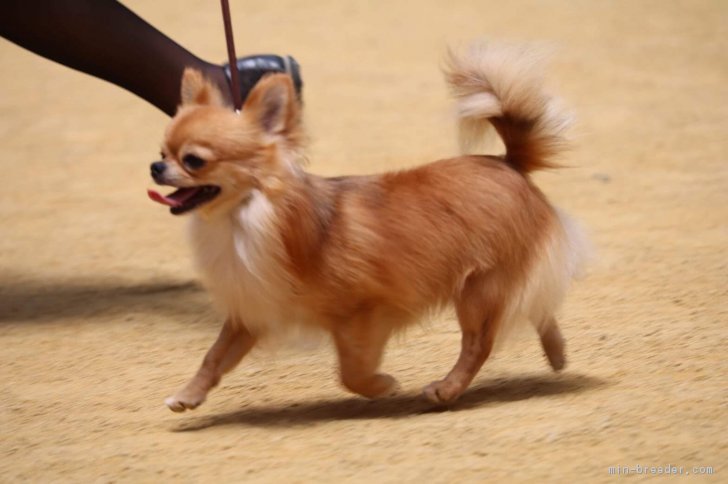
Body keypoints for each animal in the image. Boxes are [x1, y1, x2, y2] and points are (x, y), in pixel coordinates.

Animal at [151, 42, 588, 412]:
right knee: (539, 305)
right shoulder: (251, 312)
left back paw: (446, 388)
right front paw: (188, 395)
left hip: (478, 289)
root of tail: (508, 162)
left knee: (479, 342)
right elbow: (214, 356)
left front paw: (383, 385)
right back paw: (557, 354)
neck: (245, 219)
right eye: (162, 152)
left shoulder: (363, 313)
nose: (155, 167)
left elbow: (350, 372)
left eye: (194, 160)